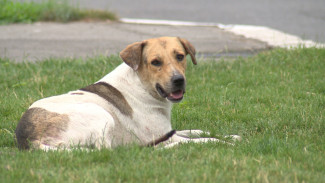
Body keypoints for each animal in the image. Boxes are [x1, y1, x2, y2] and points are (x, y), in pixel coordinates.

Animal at [14, 36, 238, 150]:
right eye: (155, 62)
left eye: (180, 56)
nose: (178, 80)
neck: (142, 85)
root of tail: (28, 138)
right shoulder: (166, 136)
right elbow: (203, 140)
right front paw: (223, 142)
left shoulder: (169, 131)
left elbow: (197, 131)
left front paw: (231, 135)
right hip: (100, 115)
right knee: (111, 150)